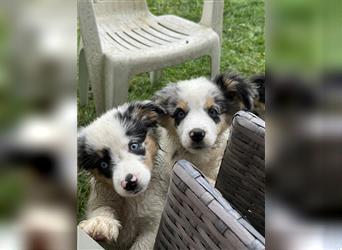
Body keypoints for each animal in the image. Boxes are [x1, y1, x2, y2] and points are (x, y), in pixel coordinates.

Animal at [77, 100, 168, 249]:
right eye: (103, 164)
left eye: (134, 146)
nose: (130, 183)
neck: (133, 199)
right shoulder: (101, 197)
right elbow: (102, 208)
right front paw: (101, 223)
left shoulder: (154, 224)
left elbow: (142, 245)